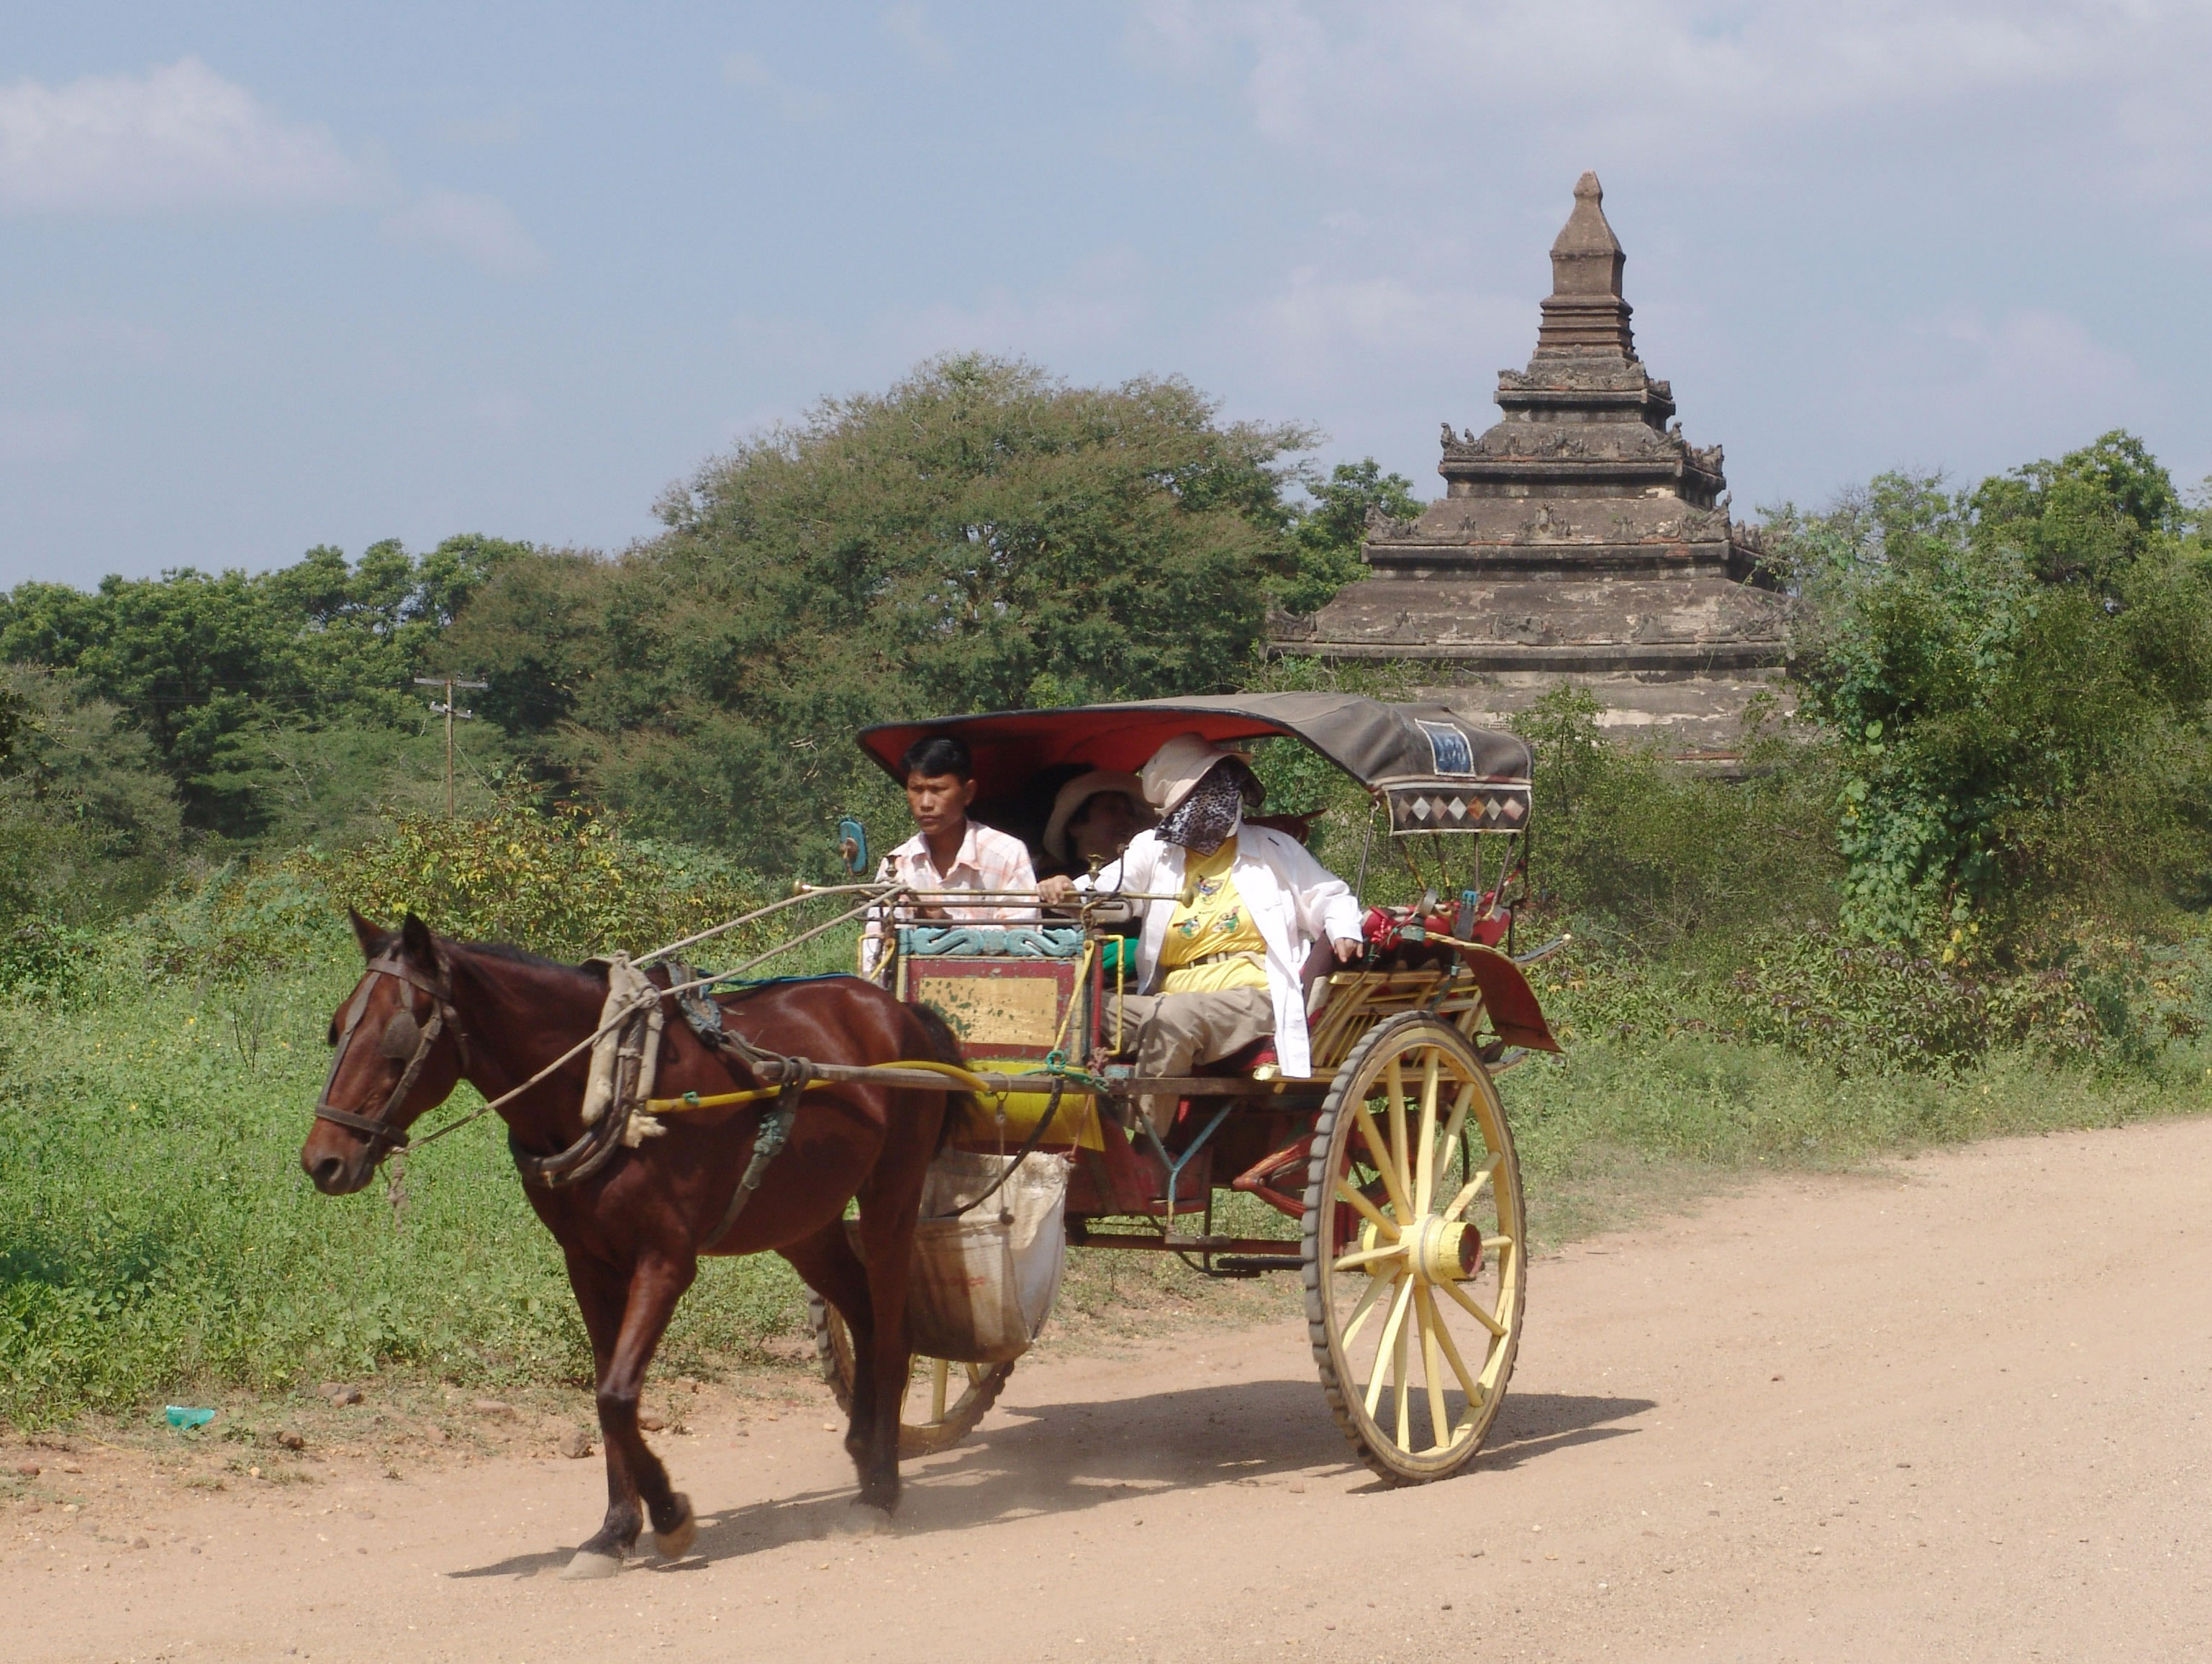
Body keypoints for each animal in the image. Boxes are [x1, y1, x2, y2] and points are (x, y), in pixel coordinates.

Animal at [298, 911, 964, 1575]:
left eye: (398, 1035)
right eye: (337, 1027)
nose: (322, 1161)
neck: (609, 1079)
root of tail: (897, 1010)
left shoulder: (665, 1261)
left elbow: (617, 1396)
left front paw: (669, 1515)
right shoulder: (588, 1263)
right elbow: (603, 1390)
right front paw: (614, 1531)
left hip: (891, 1196)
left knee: (894, 1330)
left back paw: (882, 1488)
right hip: (803, 1223)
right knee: (864, 1314)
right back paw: (863, 1452)